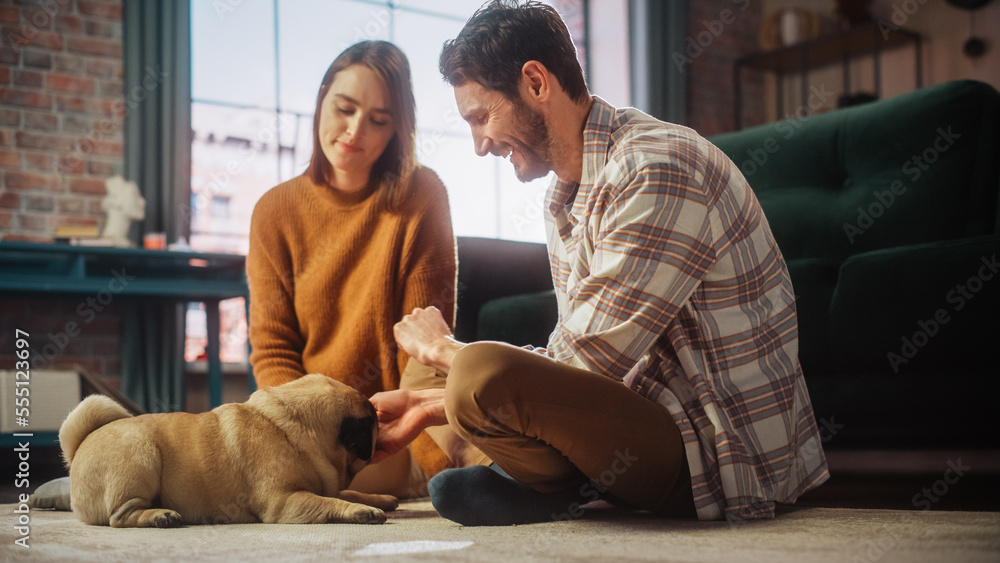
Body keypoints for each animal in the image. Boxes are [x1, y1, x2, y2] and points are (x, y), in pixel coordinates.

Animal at [59, 374, 398, 528]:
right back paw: (160, 516)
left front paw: (378, 498)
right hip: (139, 457)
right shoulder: (285, 501)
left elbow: (345, 492)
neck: (292, 429)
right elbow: (329, 502)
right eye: (371, 424)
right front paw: (362, 511)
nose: (380, 415)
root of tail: (80, 444)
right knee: (120, 516)